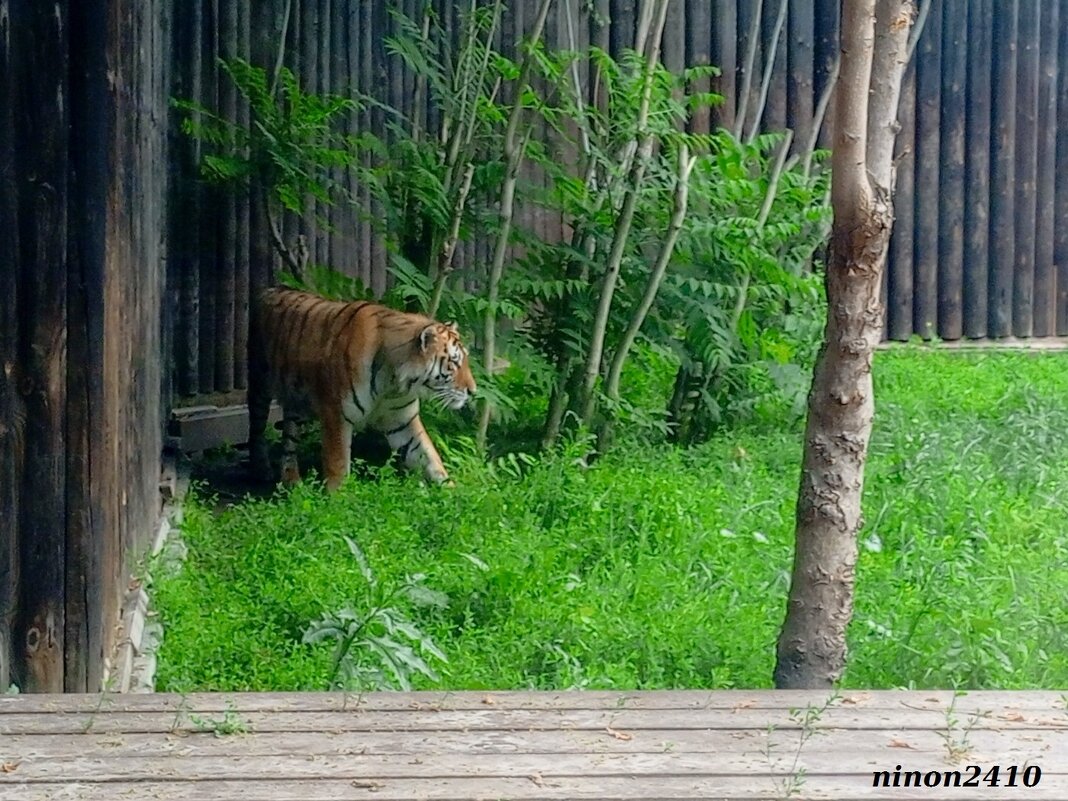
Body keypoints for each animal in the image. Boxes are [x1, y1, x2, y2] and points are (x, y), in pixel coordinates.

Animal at [247, 287, 476, 492]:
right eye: (454, 362)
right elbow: (338, 463)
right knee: (256, 430)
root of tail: (268, 289)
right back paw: (262, 469)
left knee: (289, 440)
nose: (473, 391)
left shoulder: (402, 421)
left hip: (297, 402)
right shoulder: (336, 415)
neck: (394, 384)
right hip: (260, 387)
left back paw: (291, 480)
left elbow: (429, 456)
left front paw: (455, 493)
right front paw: (337, 500)